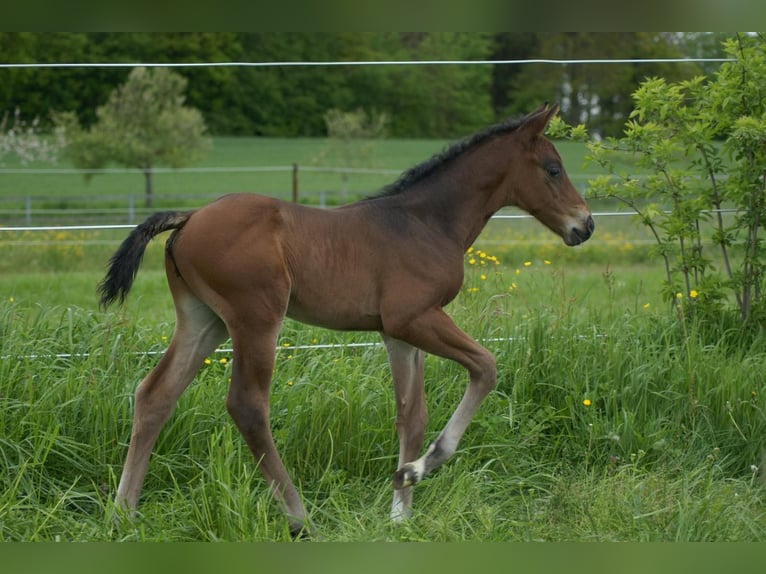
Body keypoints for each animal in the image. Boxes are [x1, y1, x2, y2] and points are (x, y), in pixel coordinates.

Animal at [100, 102, 592, 536]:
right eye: (553, 169)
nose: (584, 225)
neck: (427, 222)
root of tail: (190, 217)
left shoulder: (398, 334)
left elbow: (411, 416)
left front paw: (400, 511)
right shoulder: (414, 318)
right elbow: (485, 367)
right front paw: (419, 469)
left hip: (204, 319)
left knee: (155, 395)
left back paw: (123, 515)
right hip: (256, 317)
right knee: (247, 405)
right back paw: (299, 519)